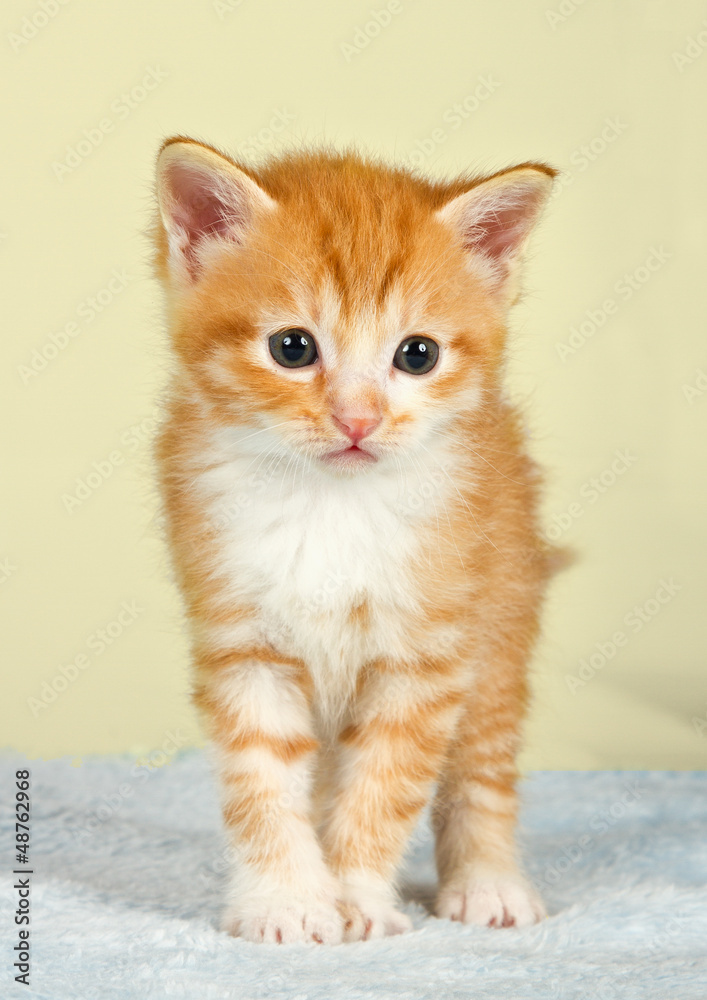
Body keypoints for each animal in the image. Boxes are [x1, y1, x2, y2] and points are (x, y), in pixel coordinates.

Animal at [153, 137, 560, 940]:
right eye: (292, 347)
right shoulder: (244, 641)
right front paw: (288, 901)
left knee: (482, 762)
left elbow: (384, 784)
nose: (358, 419)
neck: (331, 505)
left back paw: (488, 881)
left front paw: (359, 899)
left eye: (417, 354)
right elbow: (262, 778)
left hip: (501, 613)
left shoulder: (425, 656)